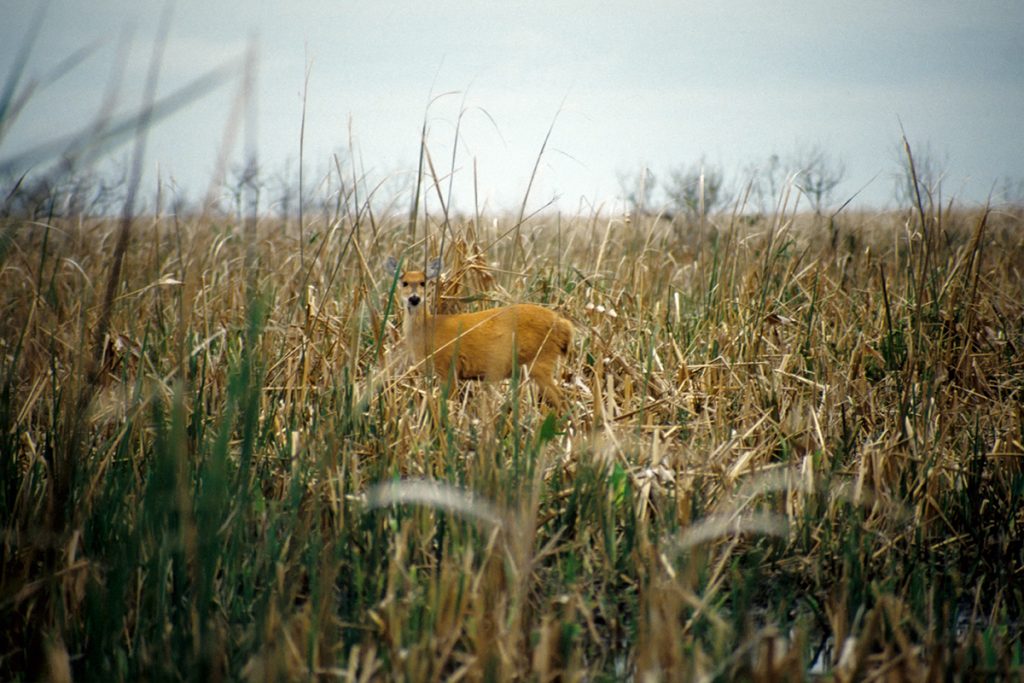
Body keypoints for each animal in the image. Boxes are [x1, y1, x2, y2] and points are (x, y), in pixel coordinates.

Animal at [385, 256, 574, 411]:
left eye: (423, 283)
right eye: (404, 283)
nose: (414, 299)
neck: (428, 329)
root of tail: (564, 325)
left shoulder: (448, 366)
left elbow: (450, 403)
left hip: (541, 359)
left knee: (562, 400)